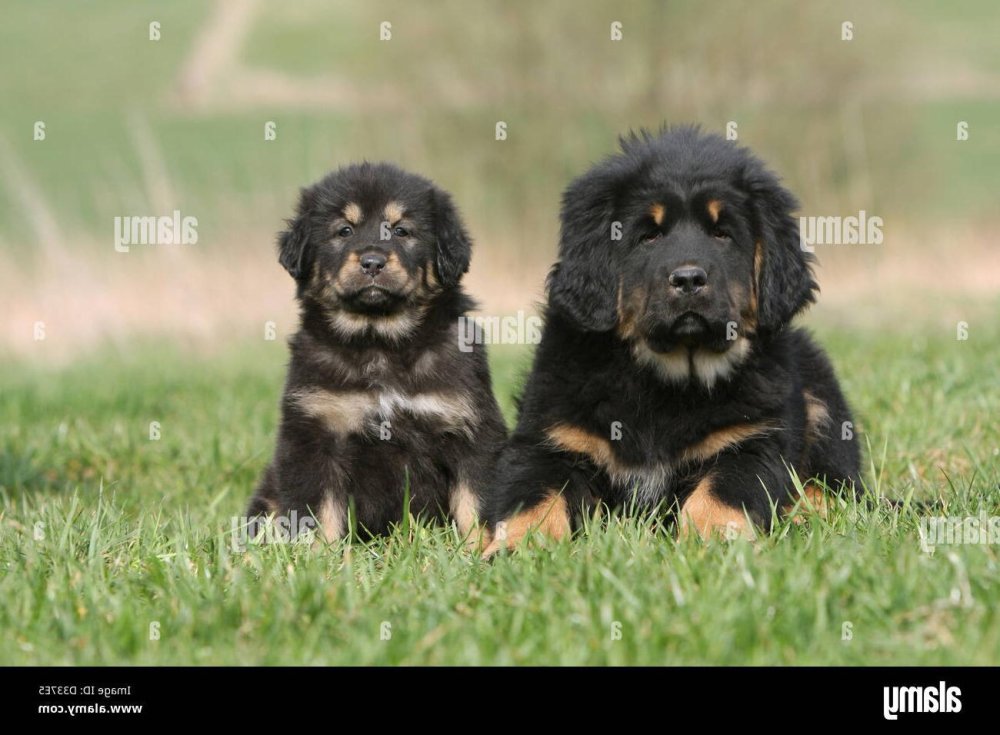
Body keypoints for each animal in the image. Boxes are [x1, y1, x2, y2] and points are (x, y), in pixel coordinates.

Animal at [243, 165, 508, 548]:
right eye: (344, 230)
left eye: (401, 230)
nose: (372, 261)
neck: (380, 342)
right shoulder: (316, 433)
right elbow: (318, 512)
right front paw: (318, 557)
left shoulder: (471, 429)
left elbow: (476, 503)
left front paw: (481, 552)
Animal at [484, 128, 860, 552]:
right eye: (649, 235)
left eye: (722, 233)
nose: (689, 279)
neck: (667, 378)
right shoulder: (550, 443)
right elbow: (533, 500)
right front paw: (516, 548)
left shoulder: (752, 443)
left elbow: (721, 493)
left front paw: (712, 540)